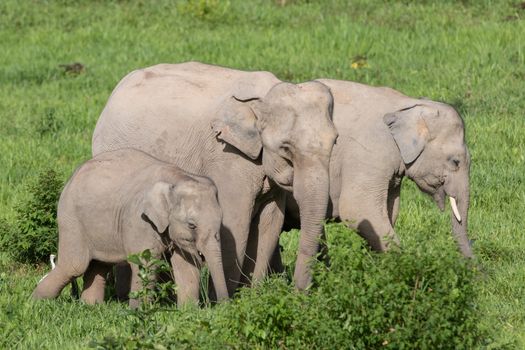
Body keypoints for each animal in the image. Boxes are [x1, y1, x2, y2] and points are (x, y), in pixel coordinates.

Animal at [31, 148, 227, 306]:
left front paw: (188, 311)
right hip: (71, 219)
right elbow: (145, 263)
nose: (222, 306)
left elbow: (186, 265)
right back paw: (37, 303)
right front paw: (139, 311)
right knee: (74, 266)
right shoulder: (139, 220)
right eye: (192, 225)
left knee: (99, 265)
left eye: (220, 221)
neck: (178, 178)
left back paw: (90, 306)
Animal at [90, 61, 338, 292]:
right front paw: (225, 302)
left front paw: (251, 296)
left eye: (335, 141)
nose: (300, 294)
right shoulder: (226, 157)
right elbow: (235, 226)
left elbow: (270, 224)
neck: (264, 95)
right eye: (285, 148)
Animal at [280, 78, 472, 260]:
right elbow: (357, 208)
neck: (408, 104)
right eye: (455, 162)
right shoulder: (369, 152)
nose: (474, 268)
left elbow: (390, 211)